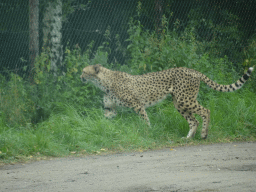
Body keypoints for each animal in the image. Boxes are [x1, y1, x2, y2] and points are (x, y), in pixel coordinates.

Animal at [80, 64, 254, 138]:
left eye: (84, 71)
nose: (80, 77)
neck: (104, 82)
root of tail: (192, 70)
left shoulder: (137, 105)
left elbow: (145, 119)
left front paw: (148, 132)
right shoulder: (110, 109)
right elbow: (106, 117)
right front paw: (102, 128)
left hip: (185, 99)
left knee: (206, 111)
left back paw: (204, 134)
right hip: (179, 103)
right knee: (194, 120)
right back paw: (188, 137)